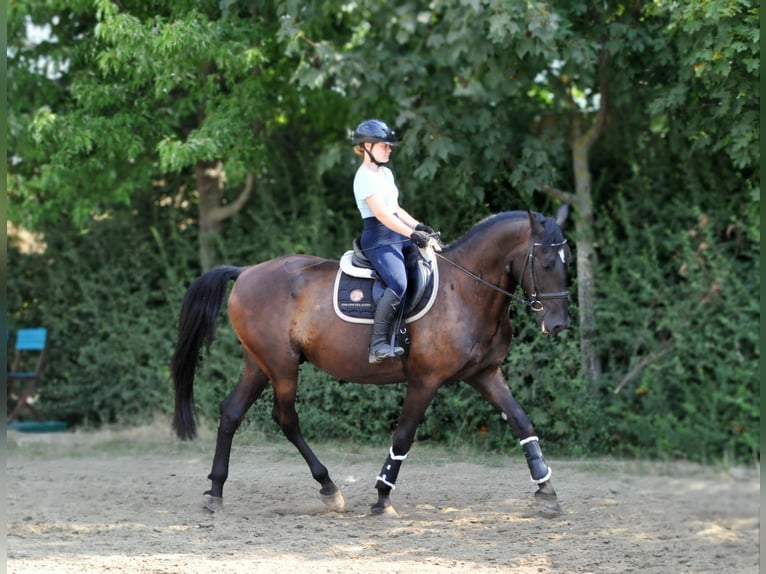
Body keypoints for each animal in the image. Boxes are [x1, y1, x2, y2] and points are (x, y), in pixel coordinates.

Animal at [171, 210, 572, 516]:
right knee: (285, 418)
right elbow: (404, 436)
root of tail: (245, 272)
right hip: (281, 365)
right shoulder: (425, 380)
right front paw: (382, 497)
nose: (558, 324)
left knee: (231, 412)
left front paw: (546, 490)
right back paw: (328, 486)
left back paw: (216, 492)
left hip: (259, 364)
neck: (466, 290)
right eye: (546, 263)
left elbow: (521, 421)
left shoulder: (485, 374)